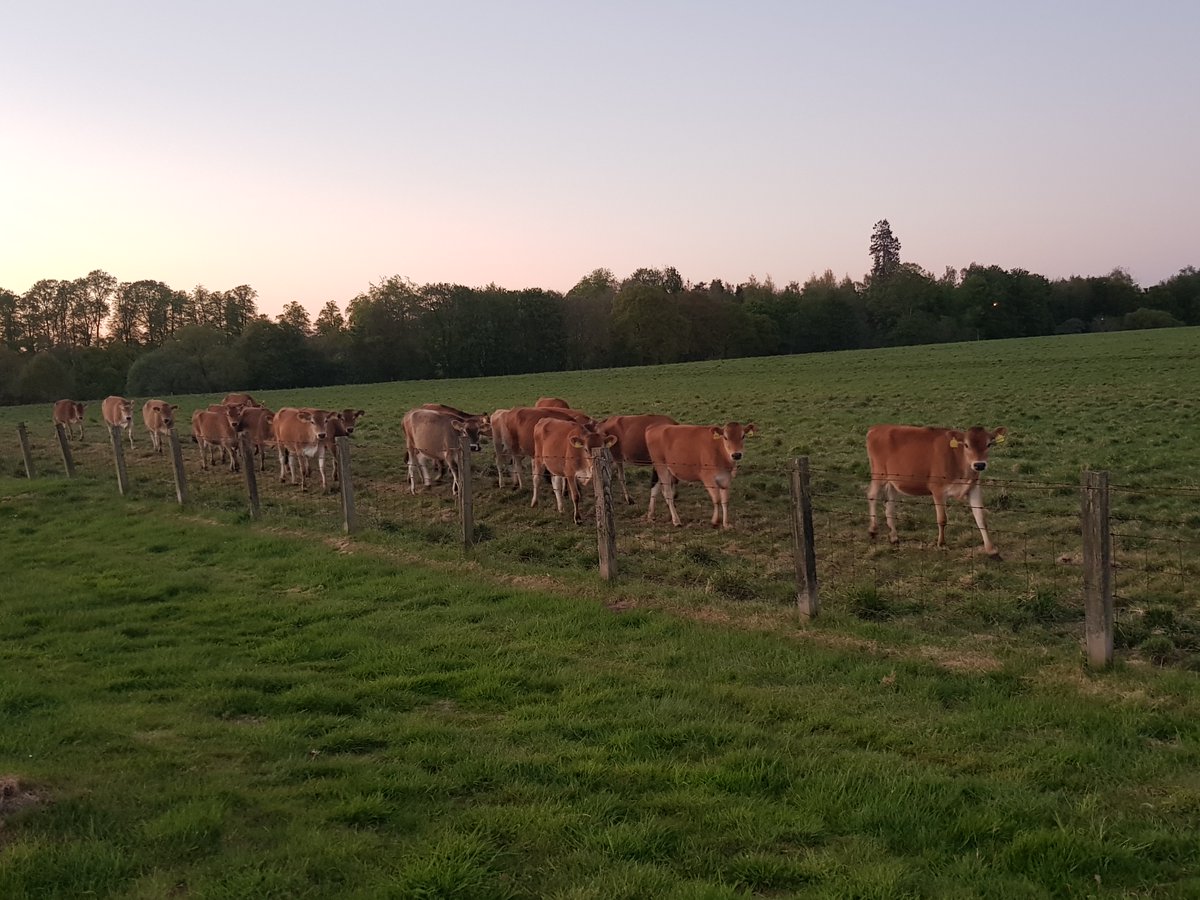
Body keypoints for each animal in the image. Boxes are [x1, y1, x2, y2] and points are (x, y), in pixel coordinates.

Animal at [866, 424, 1008, 557]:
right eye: (966, 445)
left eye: (989, 444)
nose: (979, 465)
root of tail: (877, 428)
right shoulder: (938, 489)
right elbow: (942, 519)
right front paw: (942, 543)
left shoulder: (973, 488)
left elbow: (981, 519)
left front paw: (991, 549)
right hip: (879, 474)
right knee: (872, 496)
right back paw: (873, 529)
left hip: (893, 480)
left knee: (889, 506)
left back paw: (894, 537)